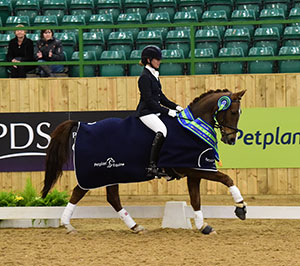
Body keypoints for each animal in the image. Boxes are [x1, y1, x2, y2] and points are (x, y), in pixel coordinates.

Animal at [41, 89, 246, 235]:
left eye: (239, 113)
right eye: (233, 112)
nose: (231, 139)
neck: (192, 126)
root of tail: (82, 125)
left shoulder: (194, 169)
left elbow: (196, 199)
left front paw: (204, 226)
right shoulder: (195, 168)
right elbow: (227, 179)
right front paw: (241, 208)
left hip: (110, 173)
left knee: (112, 198)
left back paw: (135, 227)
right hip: (96, 173)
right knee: (79, 192)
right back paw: (68, 225)